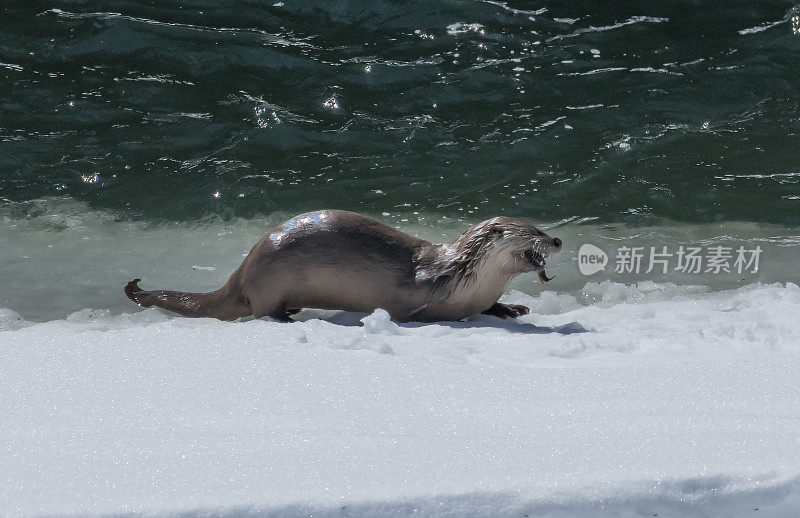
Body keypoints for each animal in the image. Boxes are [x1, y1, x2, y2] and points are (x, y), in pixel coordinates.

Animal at [125, 209, 564, 322]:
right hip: (270, 278)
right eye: (534, 231)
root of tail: (242, 270)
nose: (558, 240)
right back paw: (288, 316)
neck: (463, 276)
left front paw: (512, 307)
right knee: (262, 310)